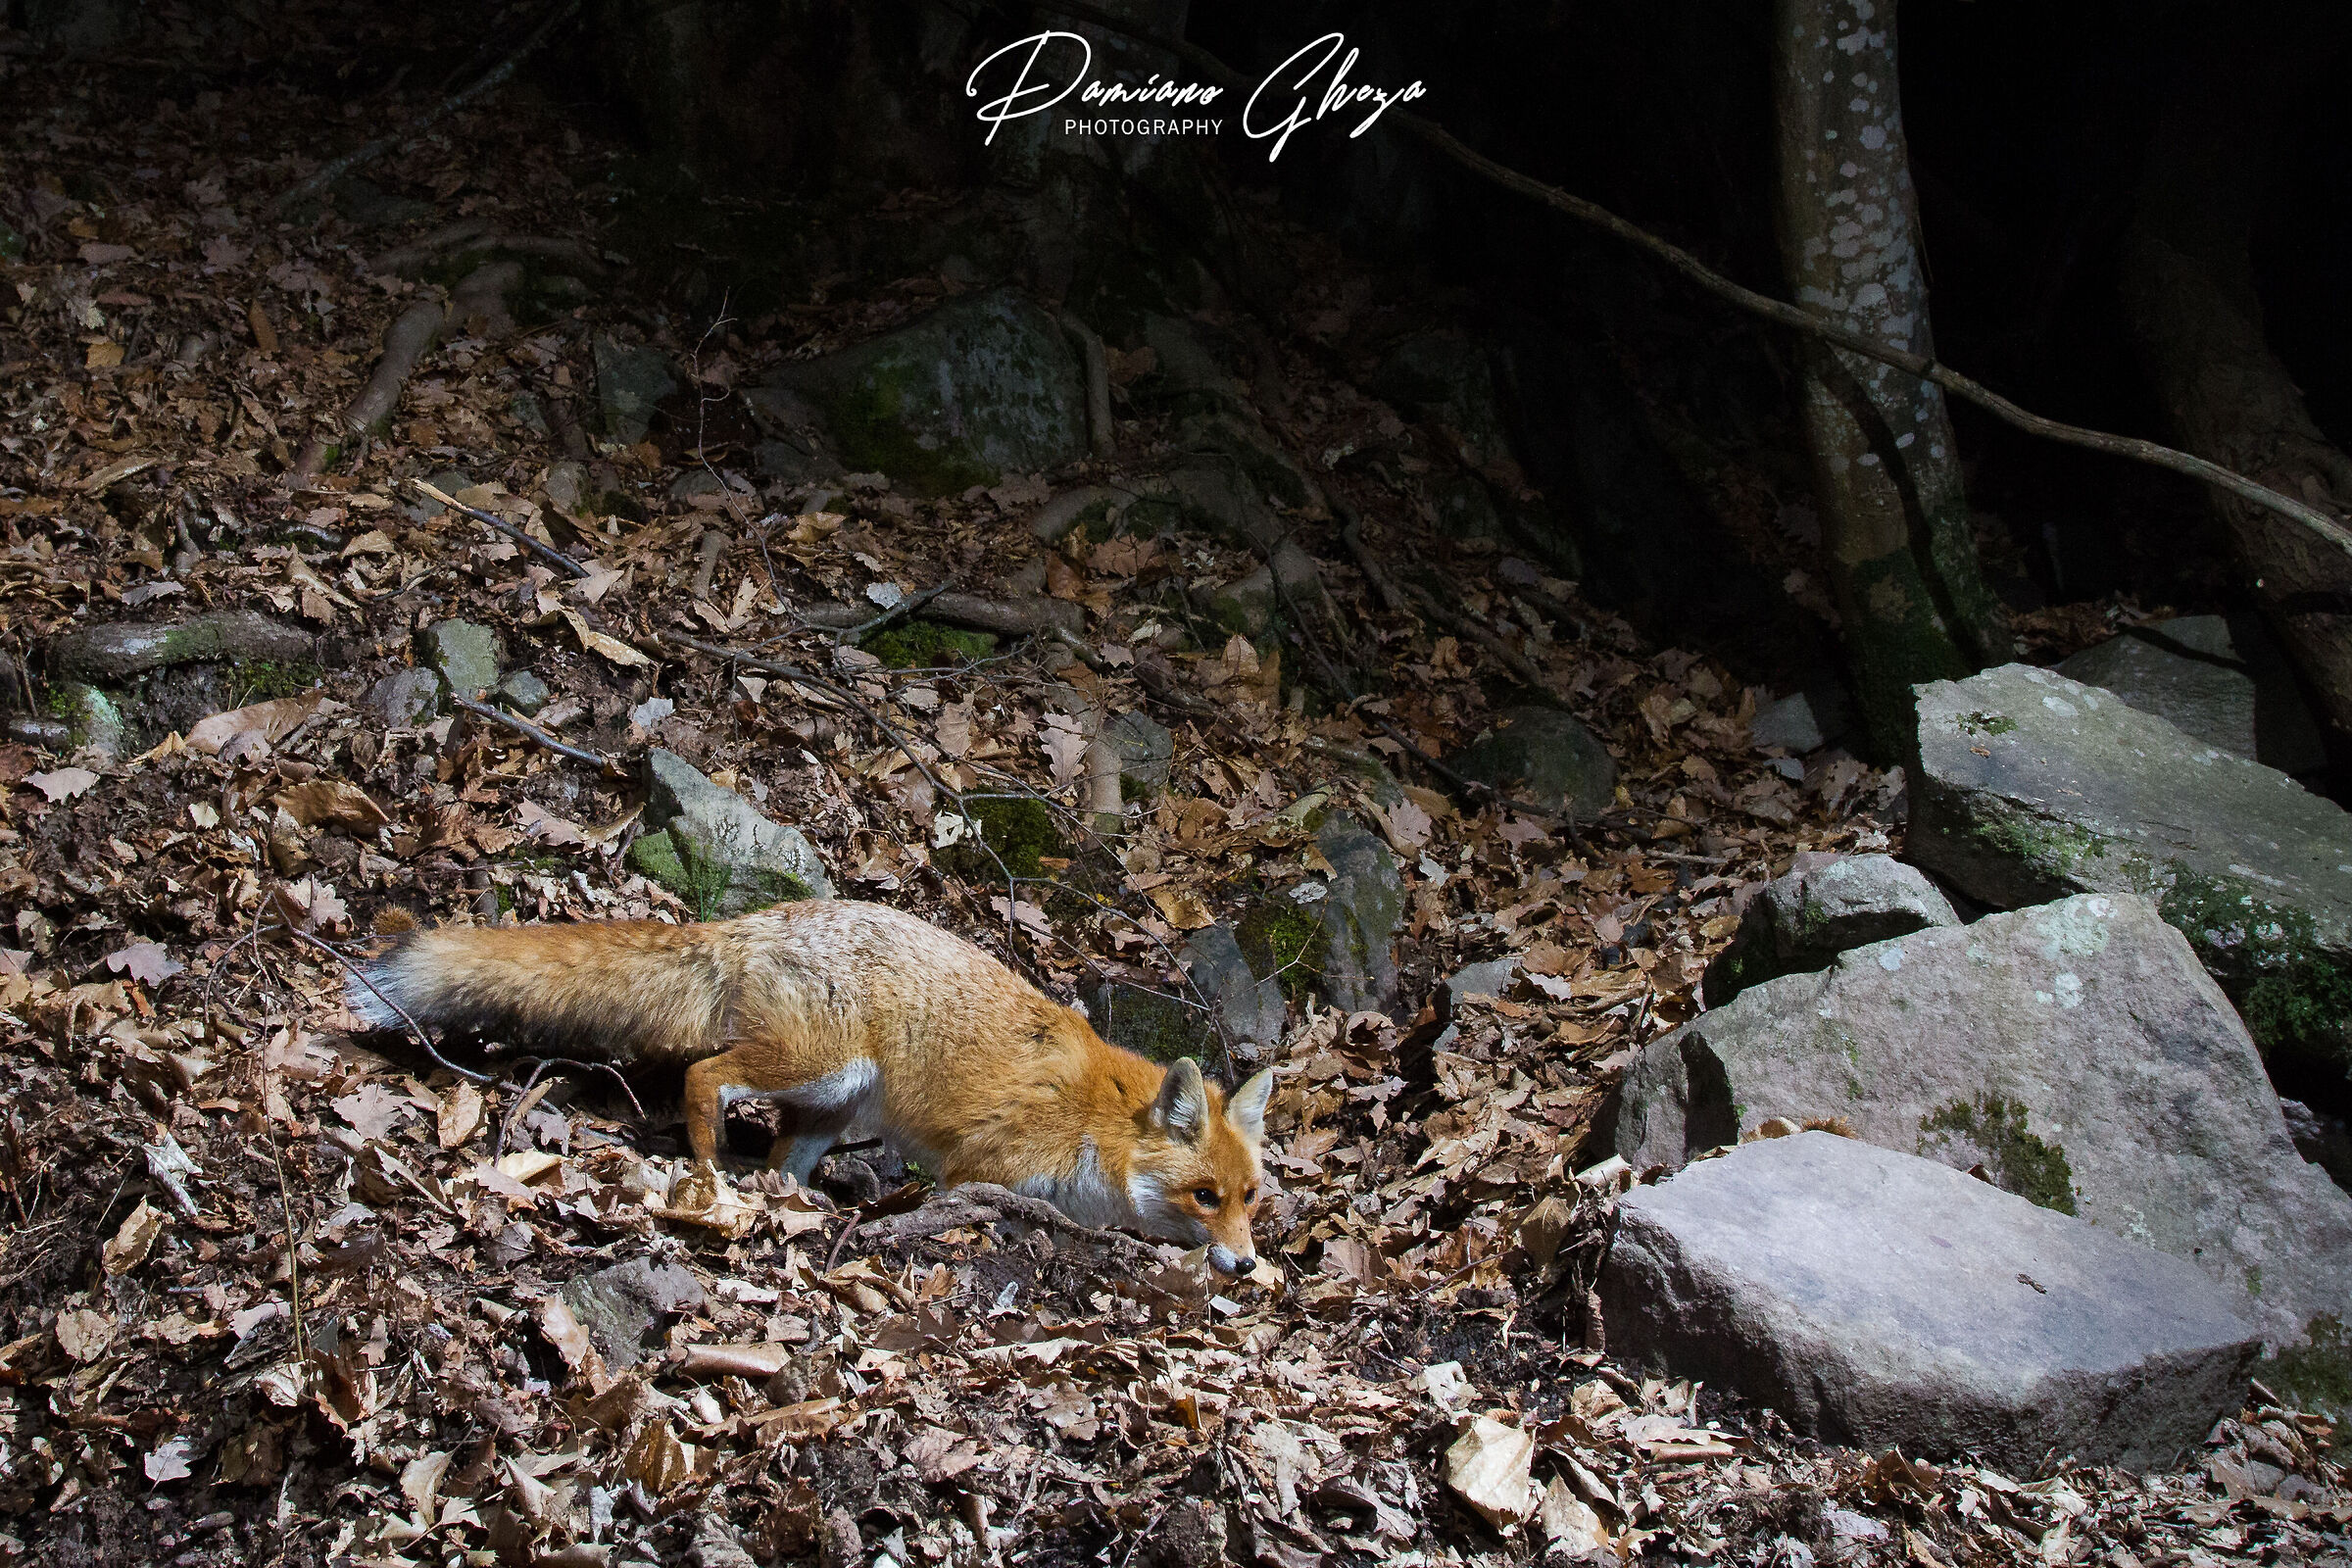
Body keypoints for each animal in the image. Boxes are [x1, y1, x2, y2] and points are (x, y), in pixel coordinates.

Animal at [346, 900, 1277, 1274]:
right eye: (1203, 1196)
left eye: (1249, 1200)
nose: (1244, 1266)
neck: (1098, 1125)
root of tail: (750, 923)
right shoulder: (979, 1170)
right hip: (812, 1066)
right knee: (703, 1075)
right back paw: (709, 1169)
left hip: (834, 1107)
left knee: (781, 1162)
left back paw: (787, 1200)